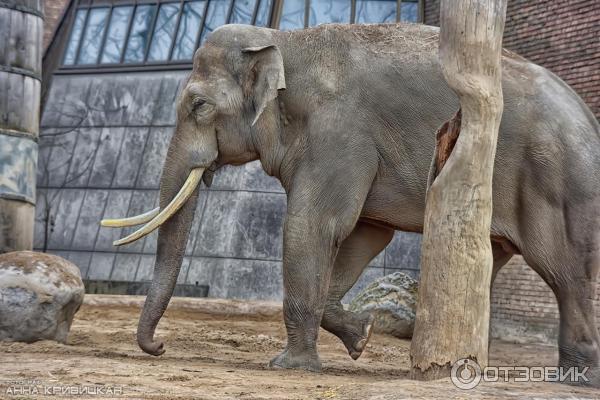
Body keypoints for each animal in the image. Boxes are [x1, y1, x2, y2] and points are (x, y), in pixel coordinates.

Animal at [102, 22, 600, 384]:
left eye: (199, 106)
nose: (160, 348)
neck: (285, 41)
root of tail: (588, 116)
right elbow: (364, 233)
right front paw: (361, 337)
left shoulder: (339, 133)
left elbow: (312, 226)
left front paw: (289, 367)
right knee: (493, 260)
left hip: (556, 180)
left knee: (564, 272)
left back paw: (573, 377)